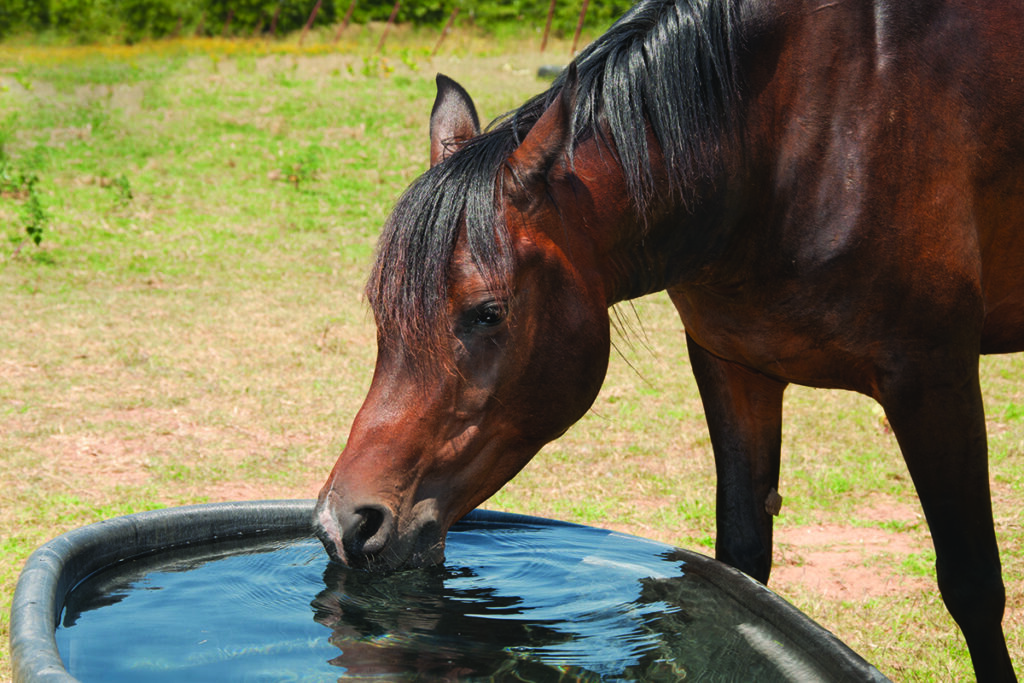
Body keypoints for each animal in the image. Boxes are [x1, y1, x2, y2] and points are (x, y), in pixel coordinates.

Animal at [313, 0, 1024, 679]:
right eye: (379, 310)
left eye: (487, 313)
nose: (342, 524)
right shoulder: (733, 365)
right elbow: (742, 568)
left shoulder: (933, 376)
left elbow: (973, 585)